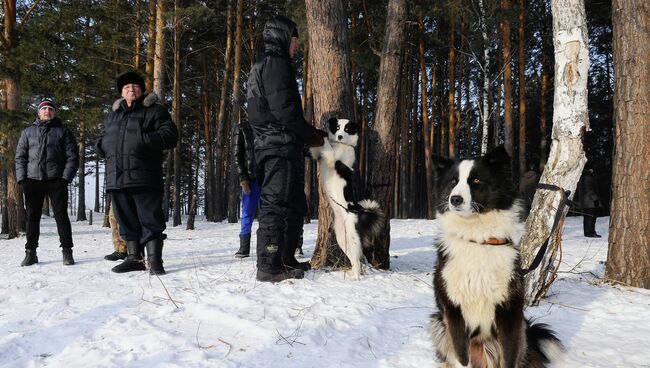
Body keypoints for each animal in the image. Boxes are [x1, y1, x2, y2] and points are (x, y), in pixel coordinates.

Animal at [310, 118, 384, 278]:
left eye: (347, 129)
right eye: (337, 127)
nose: (339, 136)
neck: (341, 145)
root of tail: (360, 211)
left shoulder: (335, 160)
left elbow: (327, 147)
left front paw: (323, 134)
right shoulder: (320, 155)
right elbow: (318, 149)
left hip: (352, 237)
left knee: (357, 259)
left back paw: (355, 277)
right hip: (341, 238)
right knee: (353, 258)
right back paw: (350, 273)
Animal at [428, 147, 560, 368]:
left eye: (476, 180)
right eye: (453, 181)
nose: (455, 199)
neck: (477, 239)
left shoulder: (509, 311)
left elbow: (509, 357)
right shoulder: (453, 311)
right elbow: (461, 358)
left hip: (520, 331)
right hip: (438, 323)